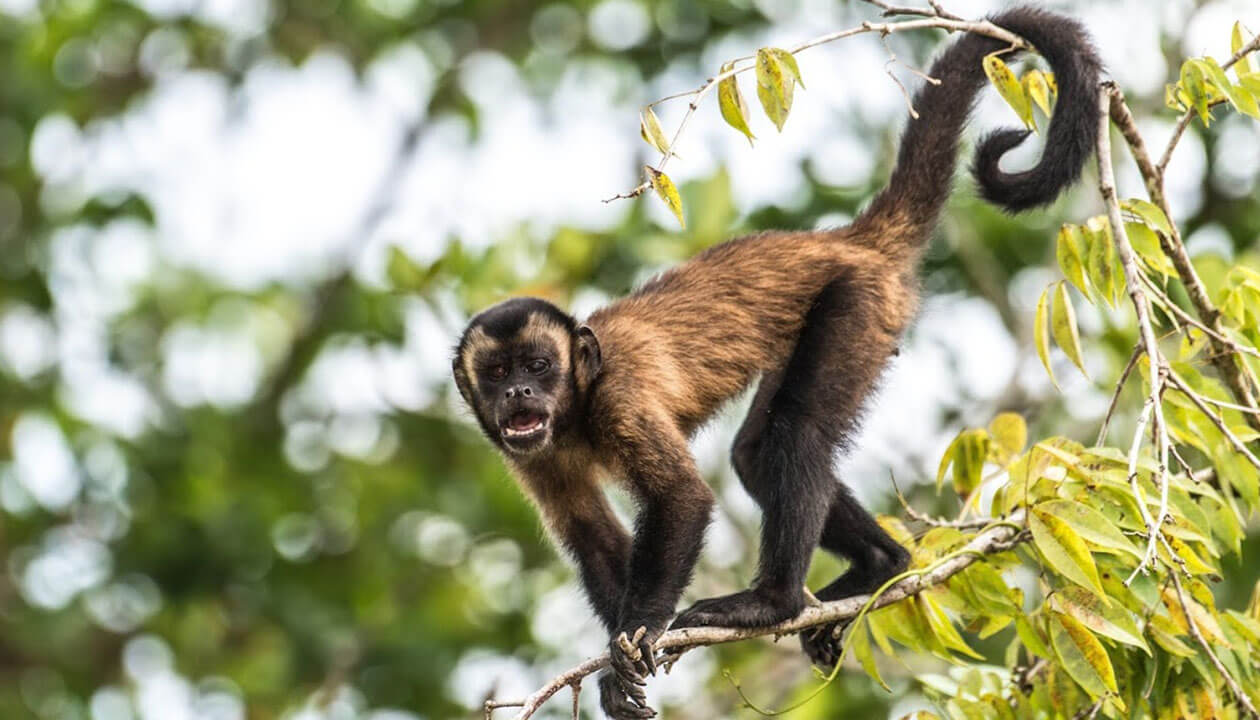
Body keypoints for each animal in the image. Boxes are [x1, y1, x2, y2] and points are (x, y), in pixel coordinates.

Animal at [452, 7, 1101, 718]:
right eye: (498, 374)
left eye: (538, 365)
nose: (519, 395)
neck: (577, 407)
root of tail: (848, 241)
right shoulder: (527, 457)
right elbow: (593, 537)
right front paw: (613, 664)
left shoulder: (620, 395)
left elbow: (682, 499)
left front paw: (639, 632)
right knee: (757, 452)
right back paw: (883, 565)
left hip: (858, 304)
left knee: (794, 434)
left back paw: (774, 603)